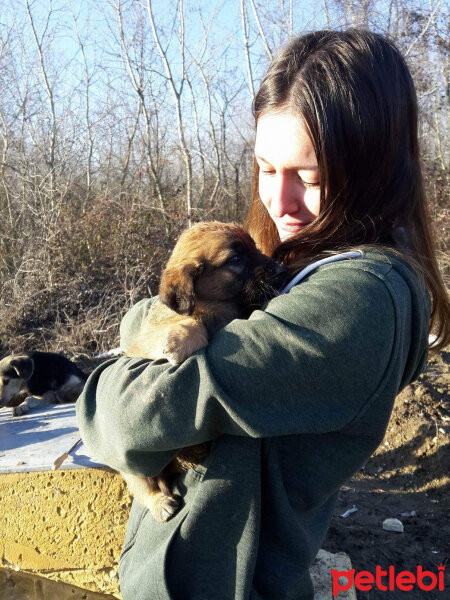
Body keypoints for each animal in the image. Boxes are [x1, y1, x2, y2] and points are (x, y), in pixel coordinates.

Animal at [121, 220, 286, 520]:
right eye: (235, 259)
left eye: (255, 249)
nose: (281, 271)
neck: (217, 306)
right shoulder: (152, 336)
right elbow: (191, 324)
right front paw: (177, 343)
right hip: (134, 466)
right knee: (144, 486)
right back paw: (162, 503)